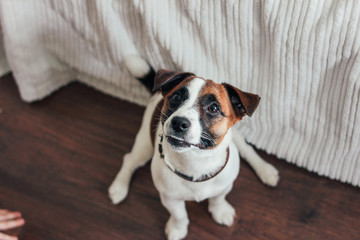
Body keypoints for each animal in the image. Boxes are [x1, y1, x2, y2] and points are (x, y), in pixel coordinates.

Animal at [108, 55, 280, 240]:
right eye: (176, 98)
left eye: (213, 108)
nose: (178, 123)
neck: (196, 159)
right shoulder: (169, 197)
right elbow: (179, 214)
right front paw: (178, 229)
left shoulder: (224, 185)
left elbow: (218, 198)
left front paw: (220, 211)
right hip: (145, 144)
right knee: (130, 160)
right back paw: (119, 187)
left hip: (237, 137)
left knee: (247, 150)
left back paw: (266, 171)